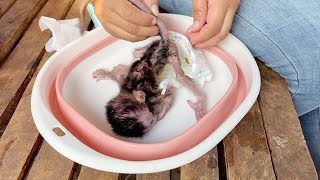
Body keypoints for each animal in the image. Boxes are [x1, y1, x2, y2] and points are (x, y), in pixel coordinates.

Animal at [82, 0, 206, 136]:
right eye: (151, 123)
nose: (155, 119)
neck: (130, 92)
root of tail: (162, 45)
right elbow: (167, 97)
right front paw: (105, 74)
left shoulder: (151, 95)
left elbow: (167, 96)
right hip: (166, 50)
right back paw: (138, 53)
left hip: (170, 52)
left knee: (180, 76)